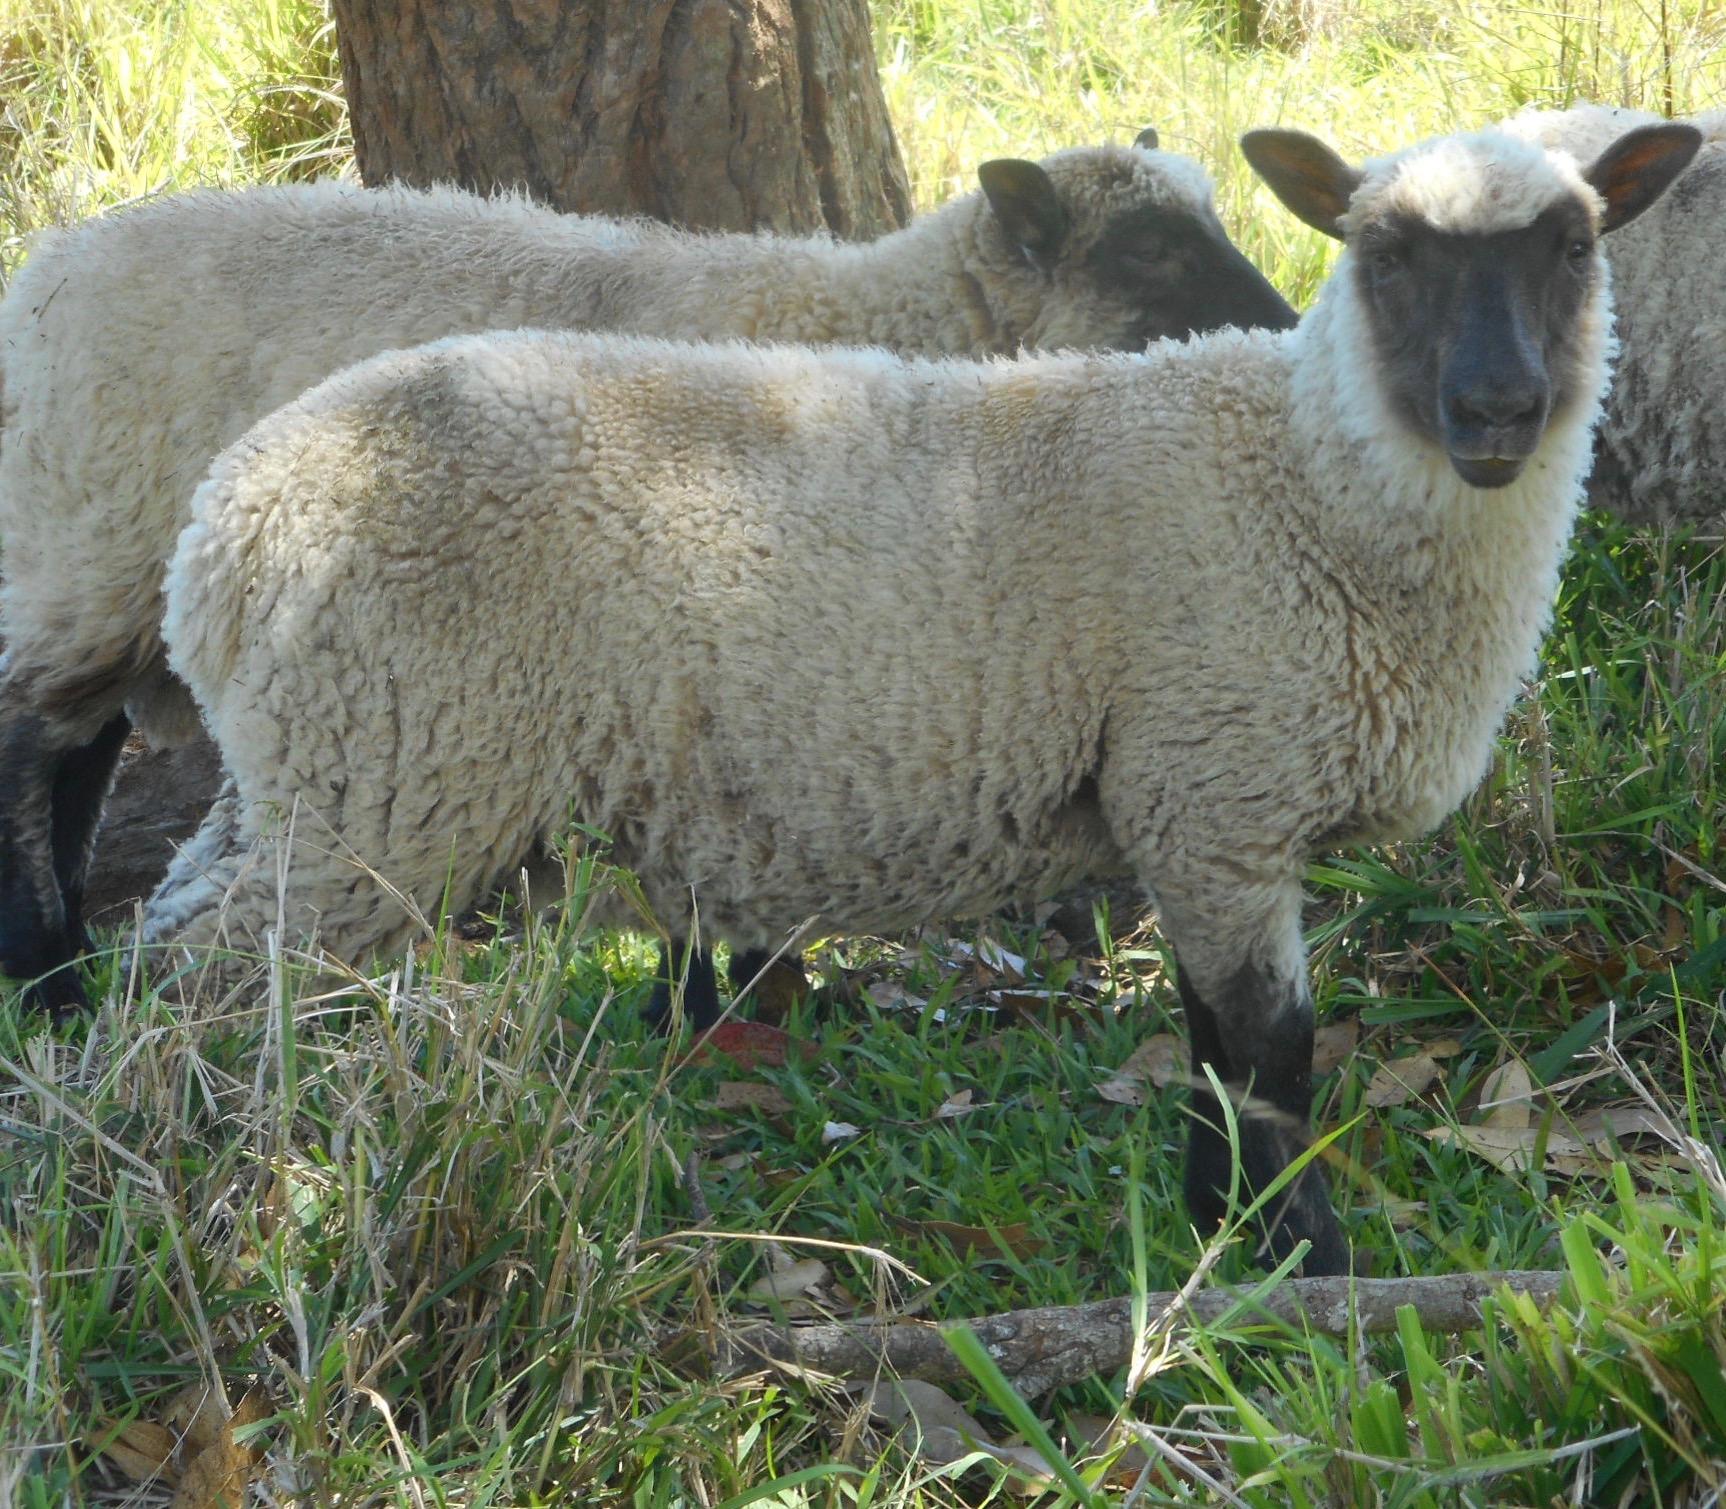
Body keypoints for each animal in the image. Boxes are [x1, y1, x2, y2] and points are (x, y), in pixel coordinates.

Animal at [0, 135, 1297, 1015]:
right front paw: (739, 1002)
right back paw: (46, 972)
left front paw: (721, 1003)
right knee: (33, 740)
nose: (1290, 330)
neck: (873, 312)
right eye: (1151, 252)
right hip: (88, 540)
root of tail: (45, 266)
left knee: (83, 754)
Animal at [138, 120, 1698, 1270]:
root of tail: (225, 529)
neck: (1299, 482)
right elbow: (1267, 1055)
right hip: (390, 789)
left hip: (313, 773)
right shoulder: (1214, 790)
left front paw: (1216, 1229)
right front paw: (1302, 1258)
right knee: (210, 997)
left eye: (1574, 246)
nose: (1495, 410)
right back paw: (211, 1201)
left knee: (174, 934)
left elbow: (1210, 1047)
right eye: (1383, 251)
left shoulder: (1195, 813)